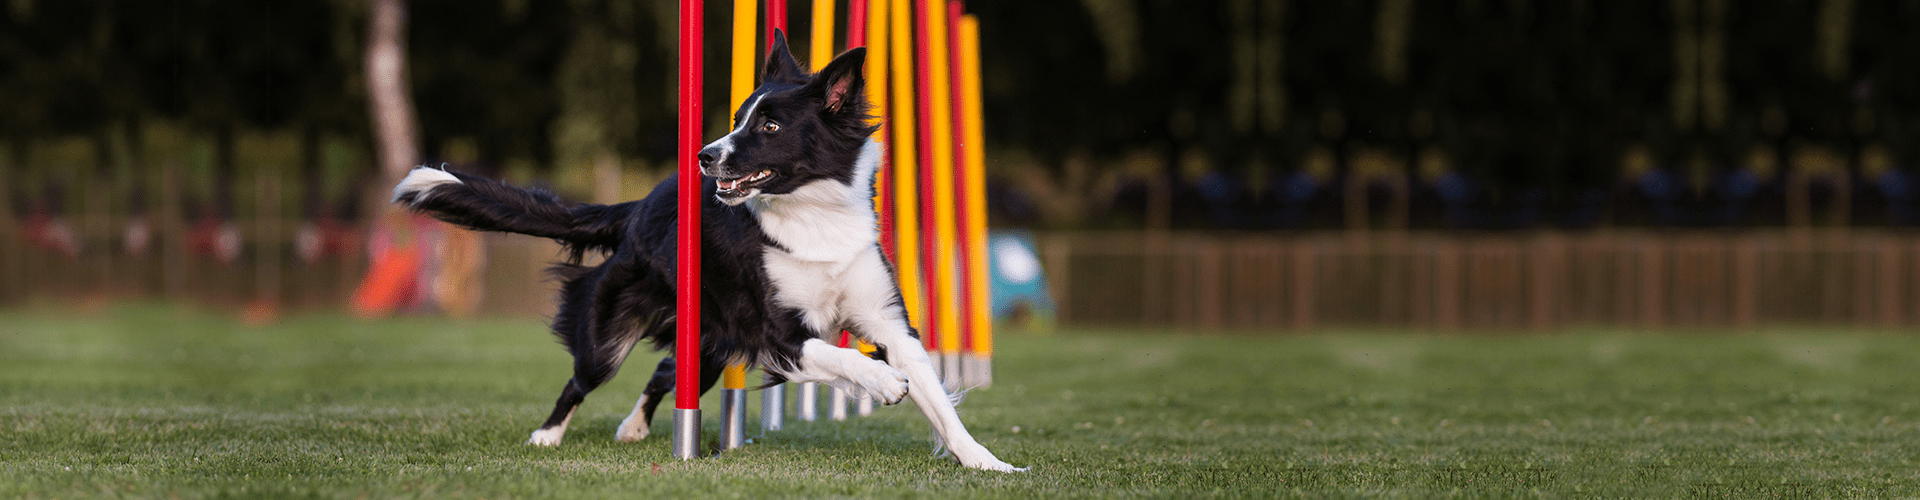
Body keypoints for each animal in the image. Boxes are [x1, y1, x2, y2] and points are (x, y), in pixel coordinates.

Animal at [385, 32, 1021, 473]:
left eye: (769, 125)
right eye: (738, 117)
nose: (705, 155)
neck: (812, 214)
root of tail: (638, 205)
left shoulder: (888, 321)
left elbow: (937, 397)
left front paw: (986, 462)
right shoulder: (778, 334)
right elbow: (846, 358)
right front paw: (883, 385)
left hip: (712, 340)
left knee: (667, 371)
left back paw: (635, 429)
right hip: (614, 332)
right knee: (583, 377)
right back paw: (547, 435)